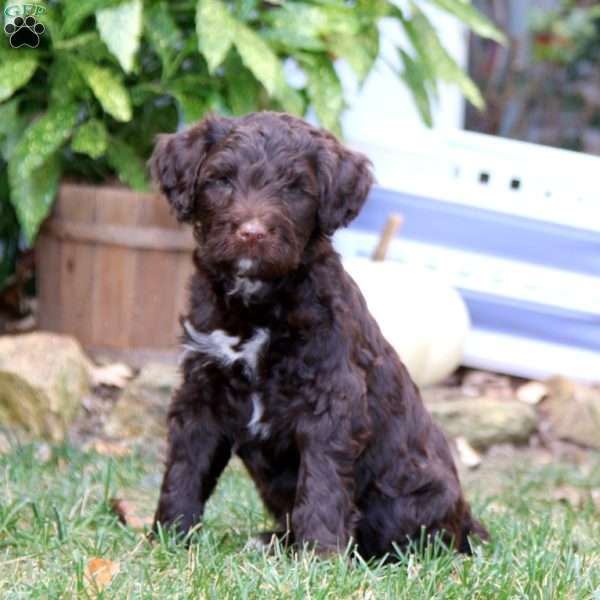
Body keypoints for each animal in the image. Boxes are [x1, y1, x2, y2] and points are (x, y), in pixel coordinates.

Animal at [150, 111, 488, 556]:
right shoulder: (202, 390)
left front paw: (320, 556)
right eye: (220, 180)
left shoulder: (332, 397)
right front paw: (168, 535)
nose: (252, 233)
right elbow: (186, 467)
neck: (258, 301)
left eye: (295, 189)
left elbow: (323, 482)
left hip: (412, 500)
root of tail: (469, 526)